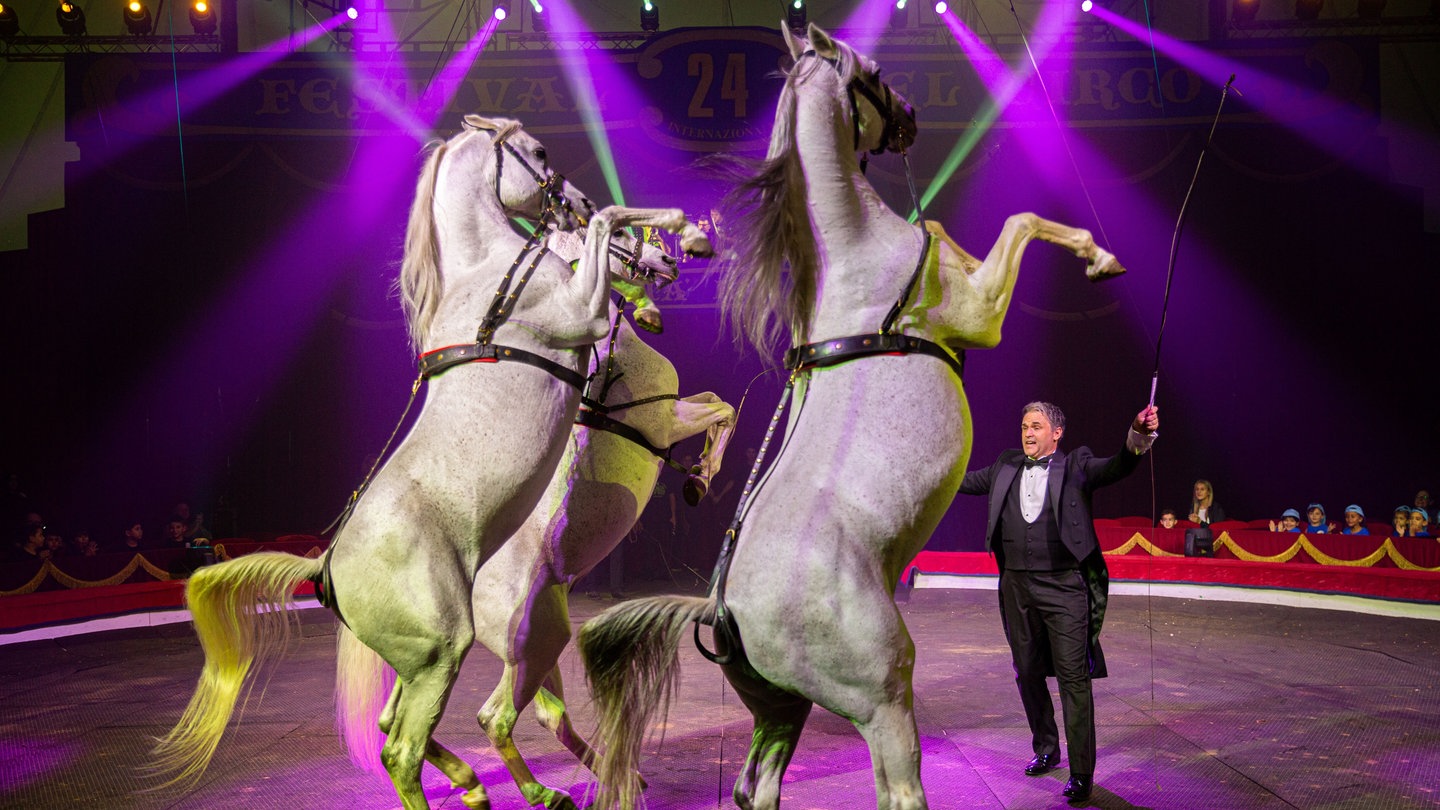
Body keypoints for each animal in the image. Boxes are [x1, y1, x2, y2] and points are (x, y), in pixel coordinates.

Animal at [331, 221, 737, 807]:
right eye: (628, 237)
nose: (669, 266)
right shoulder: (665, 420)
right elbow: (722, 409)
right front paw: (699, 478)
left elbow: (716, 402)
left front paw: (700, 472)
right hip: (535, 644)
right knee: (493, 718)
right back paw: (542, 790)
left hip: (500, 649)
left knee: (439, 720)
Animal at [576, 23, 1123, 807]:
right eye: (872, 72)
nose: (913, 117)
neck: (859, 248)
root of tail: (721, 610)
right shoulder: (980, 314)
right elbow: (1021, 221)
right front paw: (1100, 257)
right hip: (881, 696)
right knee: (896, 789)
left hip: (781, 707)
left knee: (756, 787)